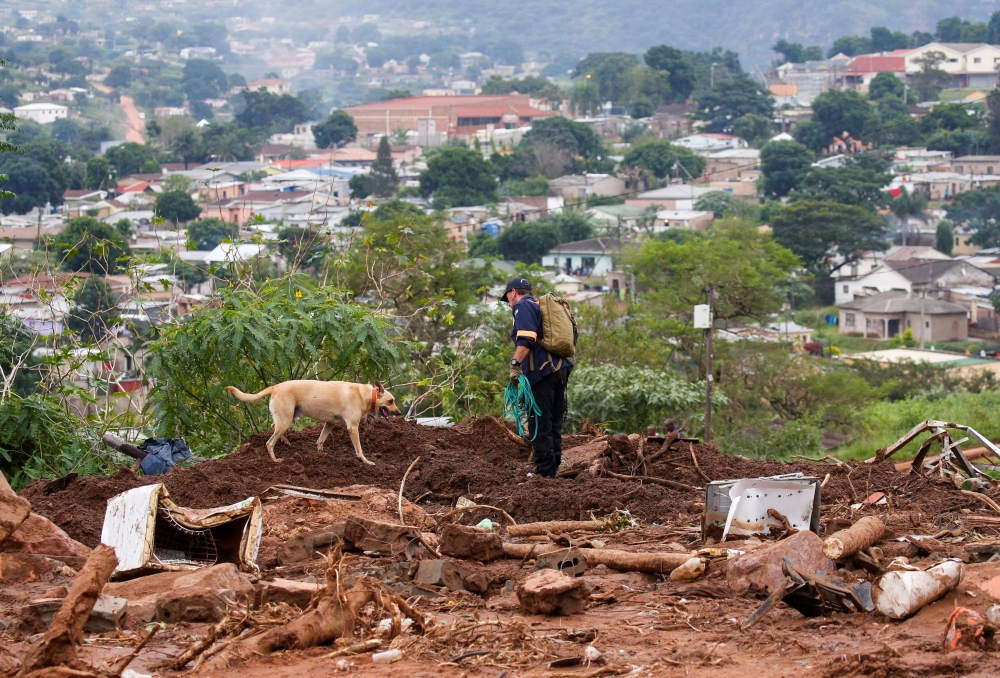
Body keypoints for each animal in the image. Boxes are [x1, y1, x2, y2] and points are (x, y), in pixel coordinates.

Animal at [225, 380, 400, 464]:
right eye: (391, 401)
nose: (399, 412)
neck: (367, 395)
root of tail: (274, 387)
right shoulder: (352, 427)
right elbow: (359, 450)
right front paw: (365, 461)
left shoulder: (330, 424)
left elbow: (320, 441)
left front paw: (322, 456)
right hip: (286, 421)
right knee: (269, 442)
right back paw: (275, 459)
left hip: (286, 418)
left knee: (273, 426)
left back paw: (285, 441)